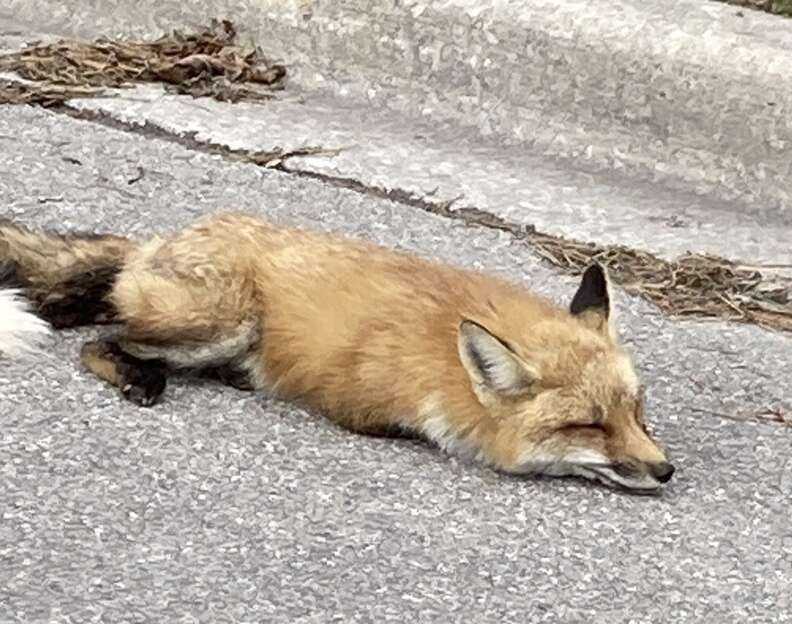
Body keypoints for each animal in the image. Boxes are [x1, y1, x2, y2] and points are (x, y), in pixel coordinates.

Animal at [3, 213, 676, 492]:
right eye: (588, 426)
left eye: (637, 414)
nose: (665, 470)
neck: (443, 364)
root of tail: (156, 239)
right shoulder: (362, 409)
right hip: (224, 322)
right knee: (102, 338)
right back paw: (138, 375)